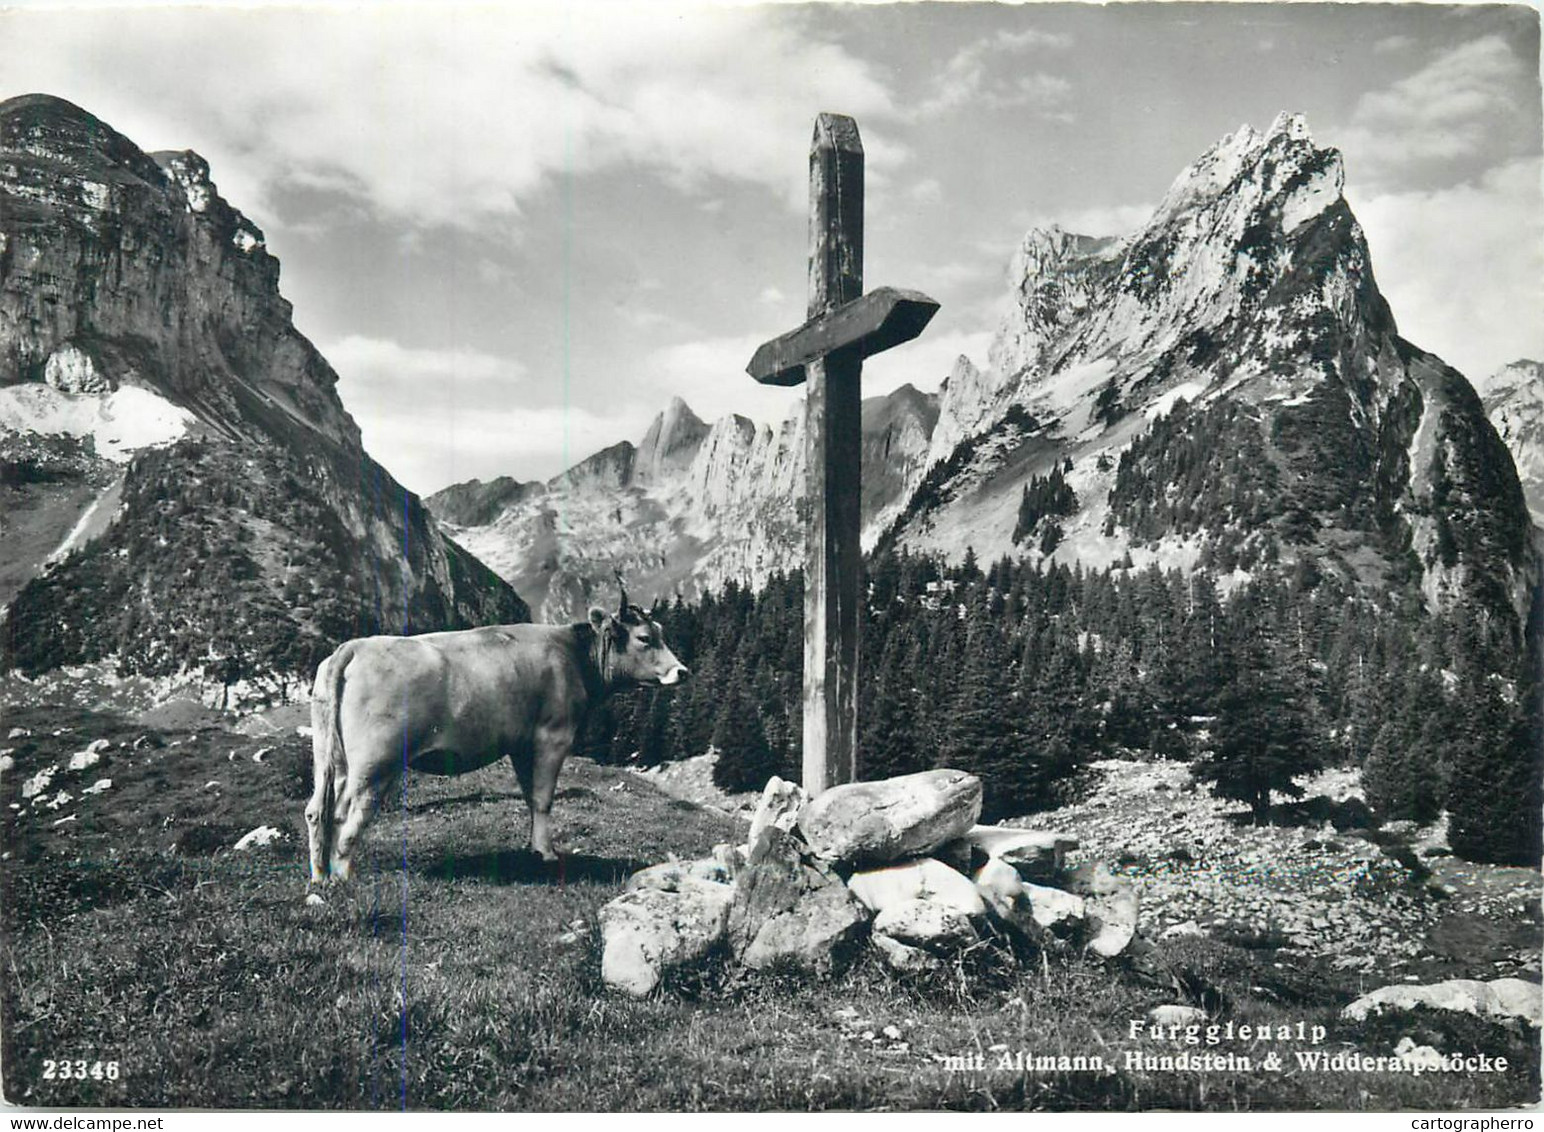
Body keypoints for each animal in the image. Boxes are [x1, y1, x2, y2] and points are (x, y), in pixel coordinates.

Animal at [302, 593, 688, 883]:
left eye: (661, 632)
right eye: (644, 638)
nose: (682, 671)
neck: (572, 655)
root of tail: (354, 648)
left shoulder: (521, 744)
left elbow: (531, 796)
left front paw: (534, 849)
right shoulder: (553, 736)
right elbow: (544, 798)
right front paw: (547, 853)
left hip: (330, 756)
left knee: (316, 810)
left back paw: (320, 875)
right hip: (375, 760)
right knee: (348, 811)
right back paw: (342, 875)